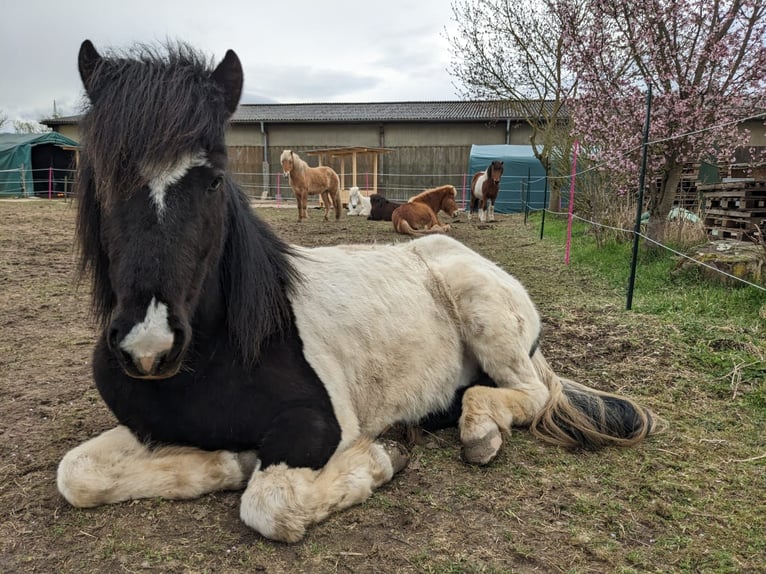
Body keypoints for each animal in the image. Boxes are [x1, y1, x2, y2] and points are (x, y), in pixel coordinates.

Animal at [57, 40, 664, 544]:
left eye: (212, 179)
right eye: (100, 177)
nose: (149, 346)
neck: (224, 350)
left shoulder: (314, 427)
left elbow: (271, 505)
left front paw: (381, 459)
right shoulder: (143, 427)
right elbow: (76, 473)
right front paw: (229, 462)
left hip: (486, 319)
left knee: (527, 393)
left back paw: (478, 431)